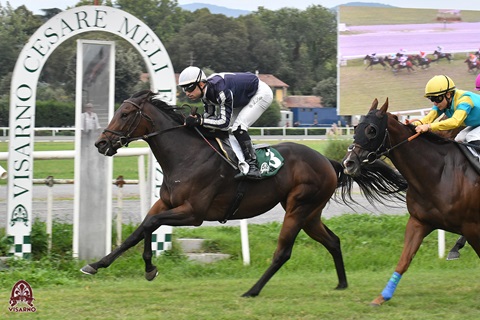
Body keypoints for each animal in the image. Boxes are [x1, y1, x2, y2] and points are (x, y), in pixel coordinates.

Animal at [80, 90, 406, 298]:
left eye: (124, 113)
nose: (101, 143)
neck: (185, 157)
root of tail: (329, 161)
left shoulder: (193, 213)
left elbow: (150, 225)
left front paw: (147, 267)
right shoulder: (165, 203)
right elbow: (141, 230)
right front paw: (101, 265)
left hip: (298, 208)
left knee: (283, 252)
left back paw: (252, 290)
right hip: (311, 213)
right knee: (333, 241)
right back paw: (341, 284)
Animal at [342, 99, 480, 306]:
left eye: (372, 130)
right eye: (356, 127)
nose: (348, 163)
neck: (439, 174)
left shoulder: (472, 226)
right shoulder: (419, 222)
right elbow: (404, 260)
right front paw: (382, 297)